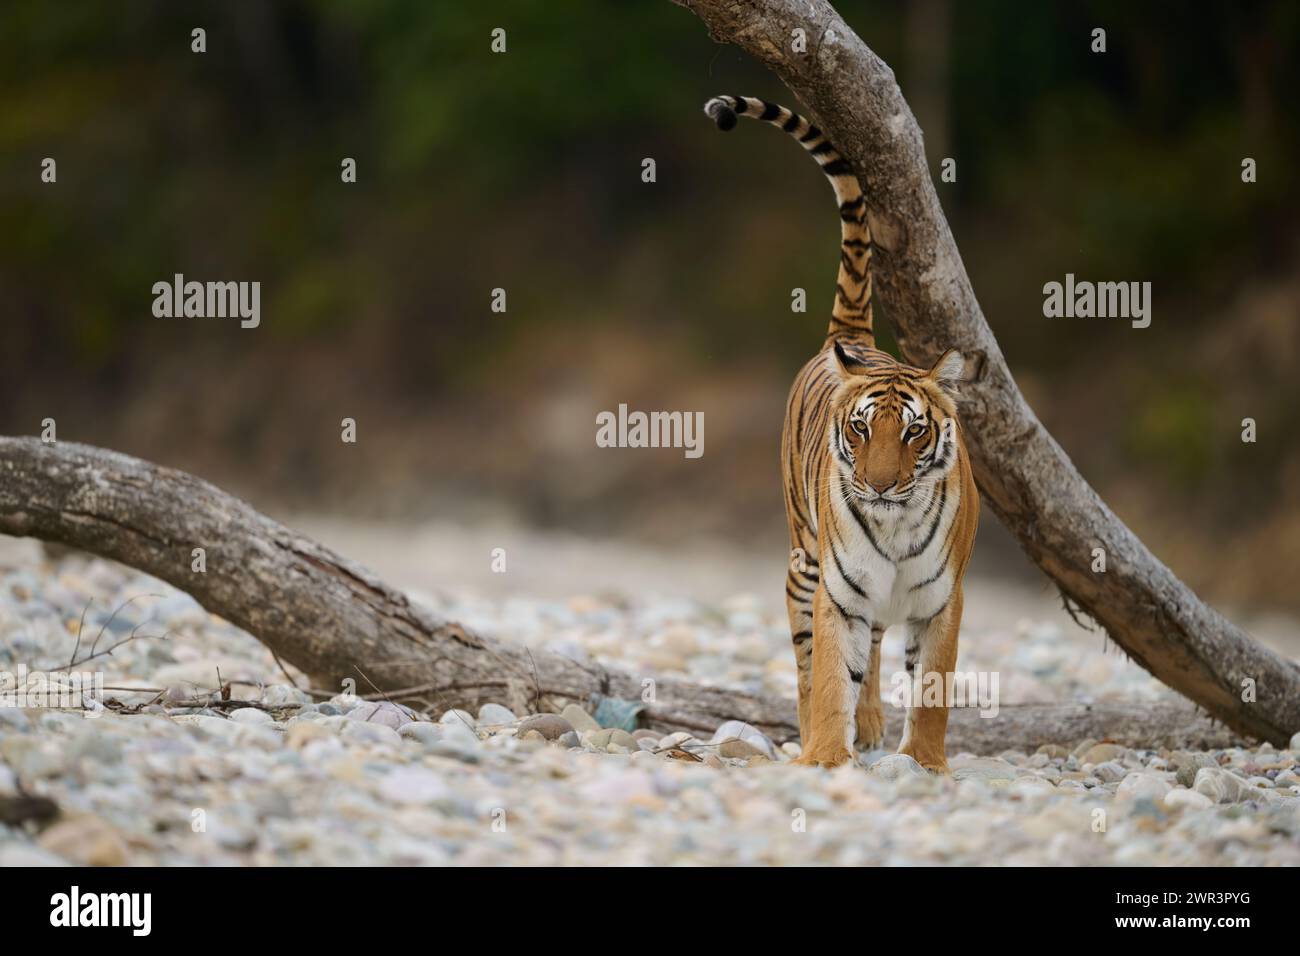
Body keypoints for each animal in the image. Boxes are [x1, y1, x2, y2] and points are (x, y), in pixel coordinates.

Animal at [702, 93, 977, 775]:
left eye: (913, 433)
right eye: (860, 429)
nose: (877, 486)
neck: (896, 524)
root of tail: (851, 336)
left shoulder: (943, 601)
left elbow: (932, 687)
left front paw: (926, 764)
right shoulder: (840, 592)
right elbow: (828, 676)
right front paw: (826, 757)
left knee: (877, 650)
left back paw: (874, 726)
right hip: (804, 562)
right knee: (808, 664)